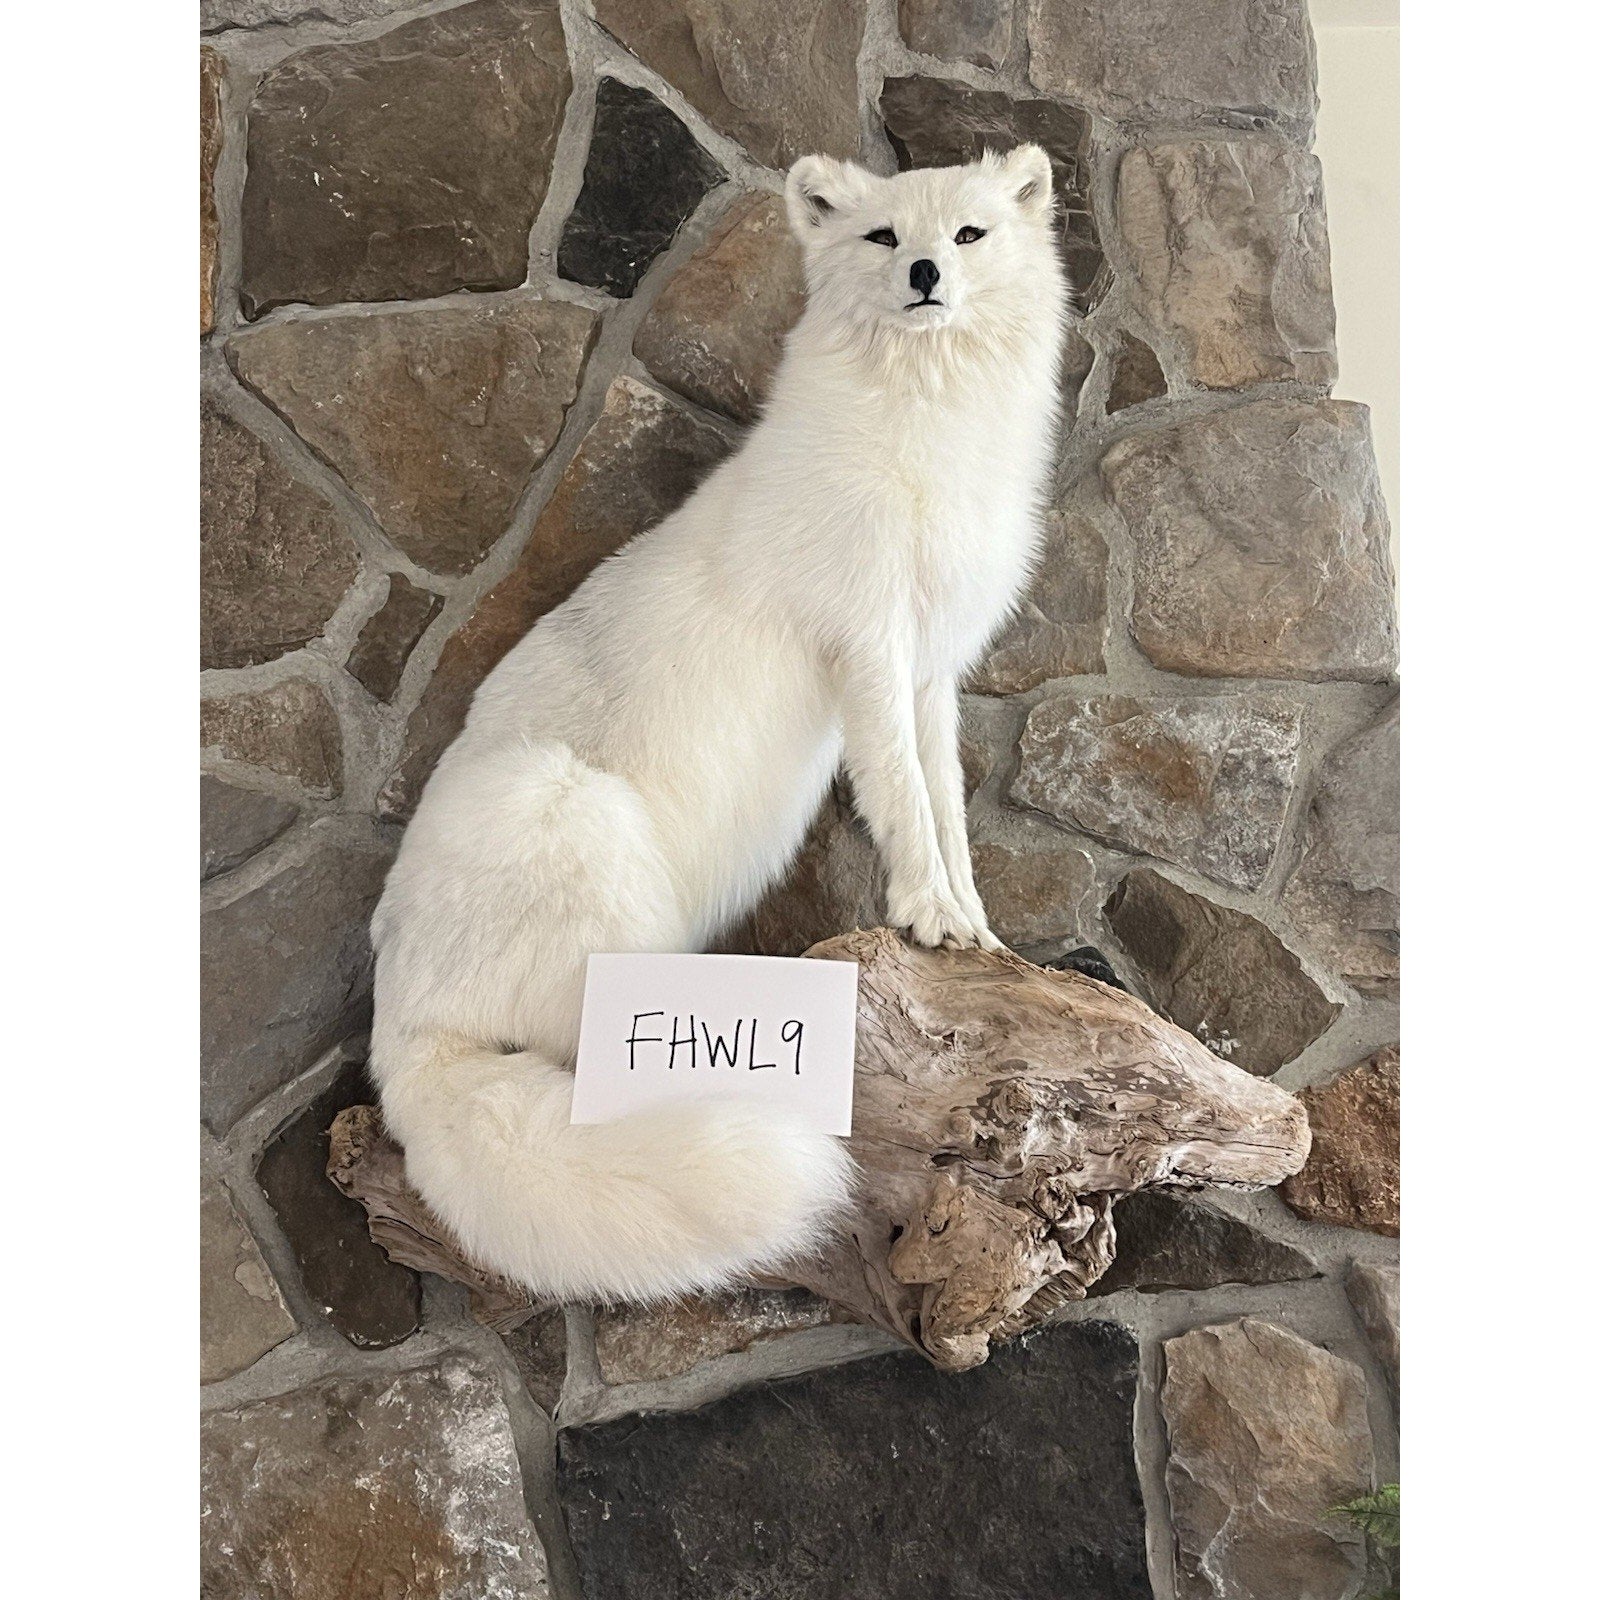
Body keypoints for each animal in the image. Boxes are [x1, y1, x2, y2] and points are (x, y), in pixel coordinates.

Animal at [368, 144, 1072, 1304]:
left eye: (969, 234)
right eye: (884, 237)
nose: (925, 272)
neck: (928, 427)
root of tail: (400, 1033)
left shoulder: (933, 671)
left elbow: (947, 806)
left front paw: (973, 926)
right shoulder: (870, 649)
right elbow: (902, 799)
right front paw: (925, 913)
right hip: (574, 816)